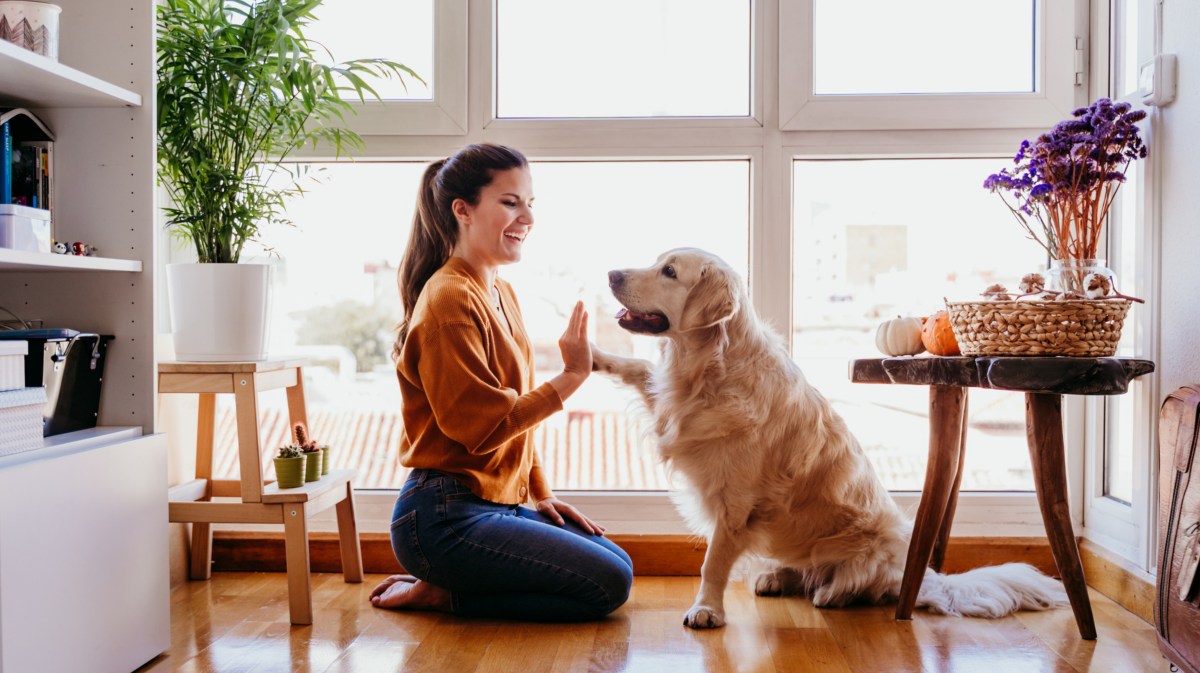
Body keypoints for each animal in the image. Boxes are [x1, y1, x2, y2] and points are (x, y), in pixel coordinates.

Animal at [592, 248, 1070, 628]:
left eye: (670, 272)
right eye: (657, 262)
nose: (611, 274)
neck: (709, 367)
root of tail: (920, 575)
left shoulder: (735, 503)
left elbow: (713, 562)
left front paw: (707, 609)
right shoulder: (671, 406)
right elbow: (638, 369)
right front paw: (593, 355)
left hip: (872, 545)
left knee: (859, 585)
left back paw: (831, 593)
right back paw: (776, 577)